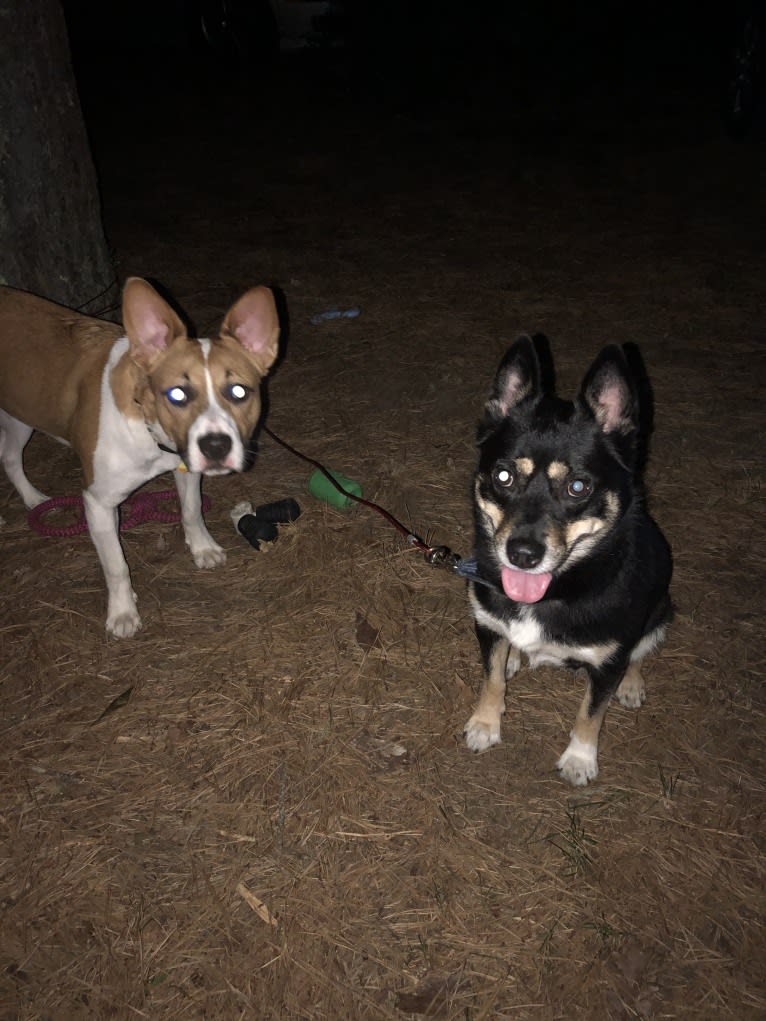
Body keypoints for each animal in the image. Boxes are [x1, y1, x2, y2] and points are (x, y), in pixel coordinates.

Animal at [0, 275, 279, 633]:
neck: (150, 430)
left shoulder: (184, 466)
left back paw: (34, 498)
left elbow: (191, 511)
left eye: (239, 392)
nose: (216, 446)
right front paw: (122, 612)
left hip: (21, 413)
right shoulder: (98, 502)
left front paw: (203, 548)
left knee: (9, 457)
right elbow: (116, 565)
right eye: (177, 394)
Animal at [461, 338, 669, 784]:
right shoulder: (486, 625)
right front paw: (486, 723)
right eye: (503, 476)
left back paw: (631, 684)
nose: (522, 554)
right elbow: (490, 679)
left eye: (577, 486)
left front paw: (580, 759)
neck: (557, 590)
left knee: (641, 650)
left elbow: (590, 712)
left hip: (663, 609)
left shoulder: (608, 664)